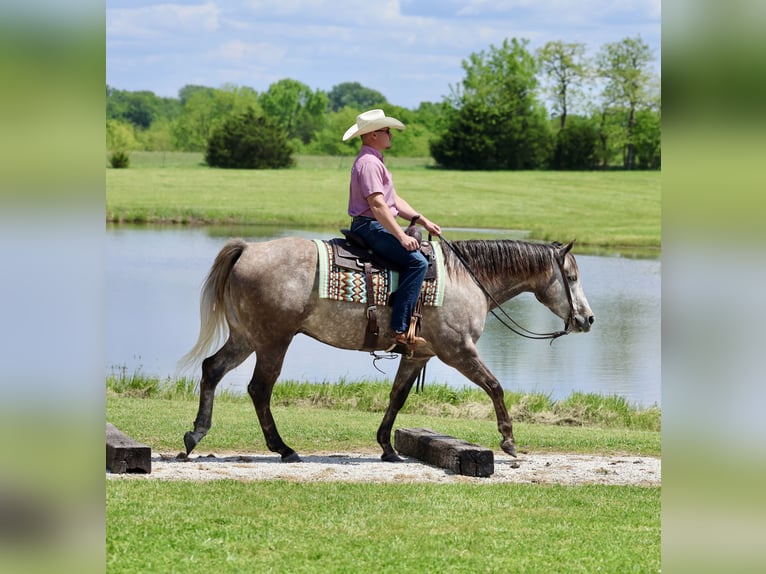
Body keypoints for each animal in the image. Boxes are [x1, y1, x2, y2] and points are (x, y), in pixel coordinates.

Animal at [179, 236, 594, 462]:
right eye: (572, 277)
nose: (588, 319)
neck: (466, 279)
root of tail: (247, 250)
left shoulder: (417, 355)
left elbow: (397, 397)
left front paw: (387, 446)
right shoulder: (458, 351)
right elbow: (495, 386)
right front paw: (508, 440)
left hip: (246, 337)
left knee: (212, 369)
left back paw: (195, 435)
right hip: (272, 341)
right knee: (259, 389)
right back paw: (283, 448)